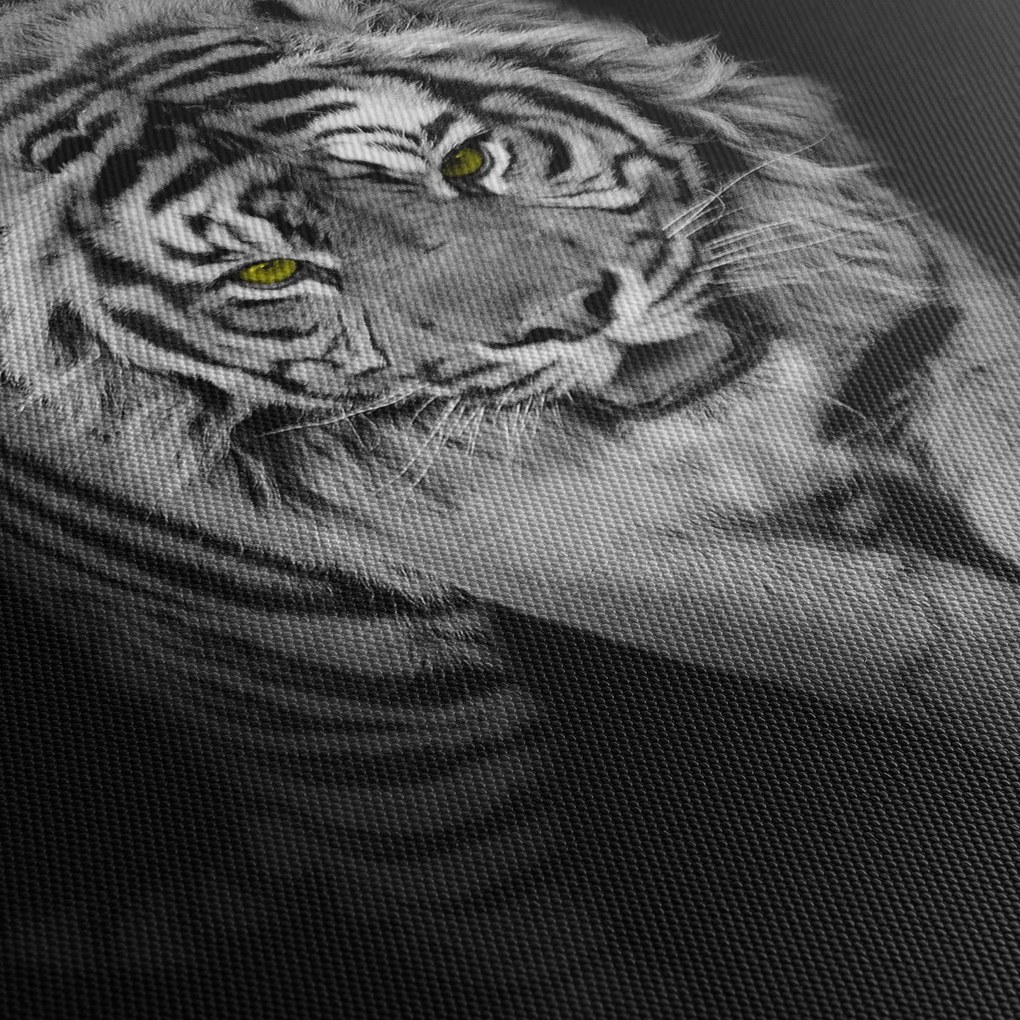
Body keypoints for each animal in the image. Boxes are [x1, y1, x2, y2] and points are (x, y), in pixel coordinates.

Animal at [2, 0, 1019, 985]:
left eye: (466, 162)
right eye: (271, 274)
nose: (579, 312)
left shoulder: (911, 287)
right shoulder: (584, 558)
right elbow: (925, 631)